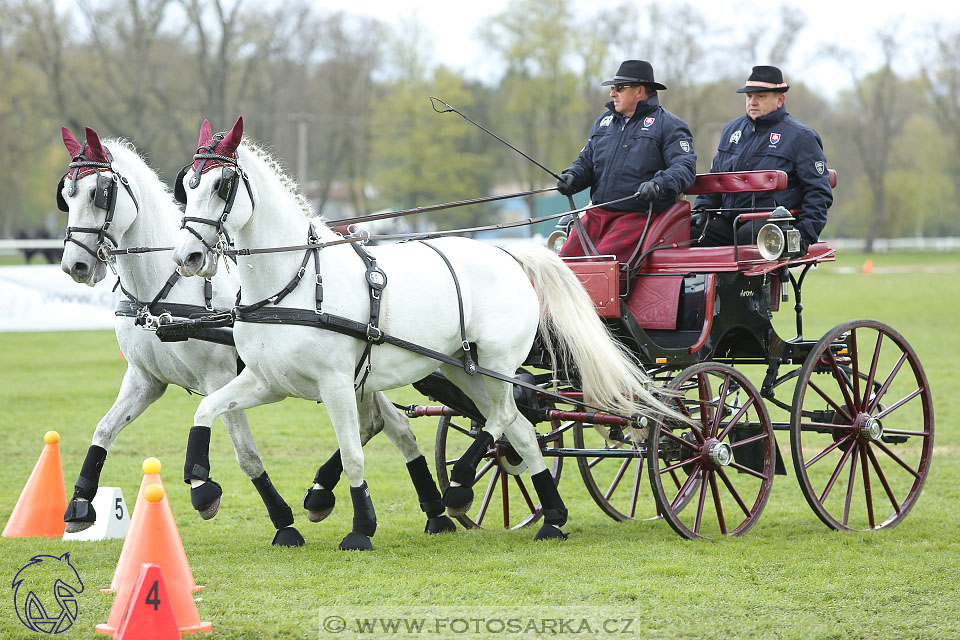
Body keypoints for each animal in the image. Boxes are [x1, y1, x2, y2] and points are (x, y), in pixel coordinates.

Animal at [56, 125, 454, 544]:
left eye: (99, 192)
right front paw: (80, 505)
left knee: (378, 426)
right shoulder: (145, 379)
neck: (165, 290)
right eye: (66, 193)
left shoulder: (217, 377)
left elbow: (245, 453)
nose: (75, 265)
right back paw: (428, 508)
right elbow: (104, 429)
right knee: (388, 426)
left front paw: (272, 516)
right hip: (362, 374)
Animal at [172, 119, 684, 552]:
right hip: (461, 370)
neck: (295, 283)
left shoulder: (335, 385)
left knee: (503, 418)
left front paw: (360, 528)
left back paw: (460, 485)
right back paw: (552, 517)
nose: (188, 257)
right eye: (187, 185)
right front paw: (201, 484)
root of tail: (509, 253)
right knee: (519, 428)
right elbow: (204, 408)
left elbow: (353, 453)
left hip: (497, 366)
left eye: (222, 184)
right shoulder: (267, 382)